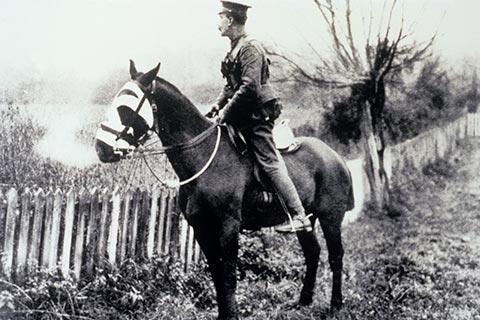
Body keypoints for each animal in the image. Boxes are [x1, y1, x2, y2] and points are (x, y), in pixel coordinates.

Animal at [95, 60, 354, 320]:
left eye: (125, 108)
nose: (100, 148)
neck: (204, 157)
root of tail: (335, 156)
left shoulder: (229, 226)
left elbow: (228, 275)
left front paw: (231, 315)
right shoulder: (201, 228)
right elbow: (217, 275)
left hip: (330, 217)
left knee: (336, 256)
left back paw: (336, 304)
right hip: (307, 219)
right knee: (313, 252)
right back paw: (304, 301)